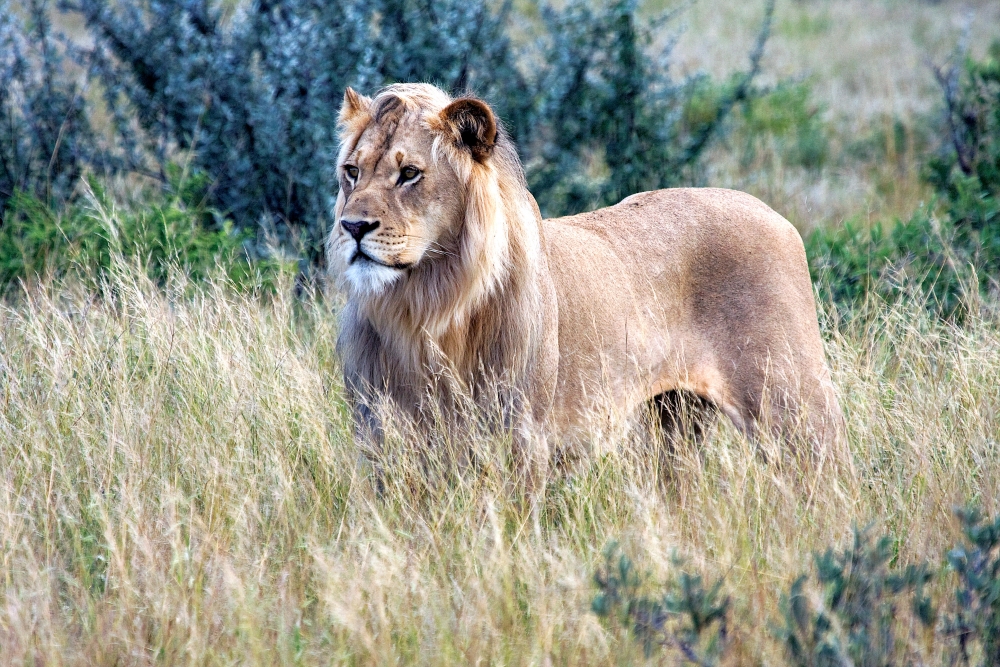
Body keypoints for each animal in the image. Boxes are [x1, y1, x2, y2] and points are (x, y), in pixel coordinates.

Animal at [328, 82, 844, 486]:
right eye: (351, 172)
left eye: (409, 173)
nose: (352, 226)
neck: (425, 308)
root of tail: (775, 214)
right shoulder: (382, 442)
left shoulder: (520, 437)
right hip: (673, 425)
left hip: (793, 406)